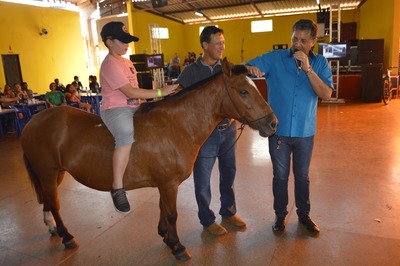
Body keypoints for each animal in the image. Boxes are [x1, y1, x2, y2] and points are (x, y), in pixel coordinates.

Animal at [21, 57, 278, 260]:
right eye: (243, 91)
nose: (273, 123)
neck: (176, 125)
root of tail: (33, 121)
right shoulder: (168, 183)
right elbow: (172, 213)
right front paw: (177, 247)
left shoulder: (165, 184)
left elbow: (163, 209)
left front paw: (165, 236)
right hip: (48, 173)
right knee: (54, 203)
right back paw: (66, 237)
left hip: (56, 174)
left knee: (48, 201)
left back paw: (53, 228)